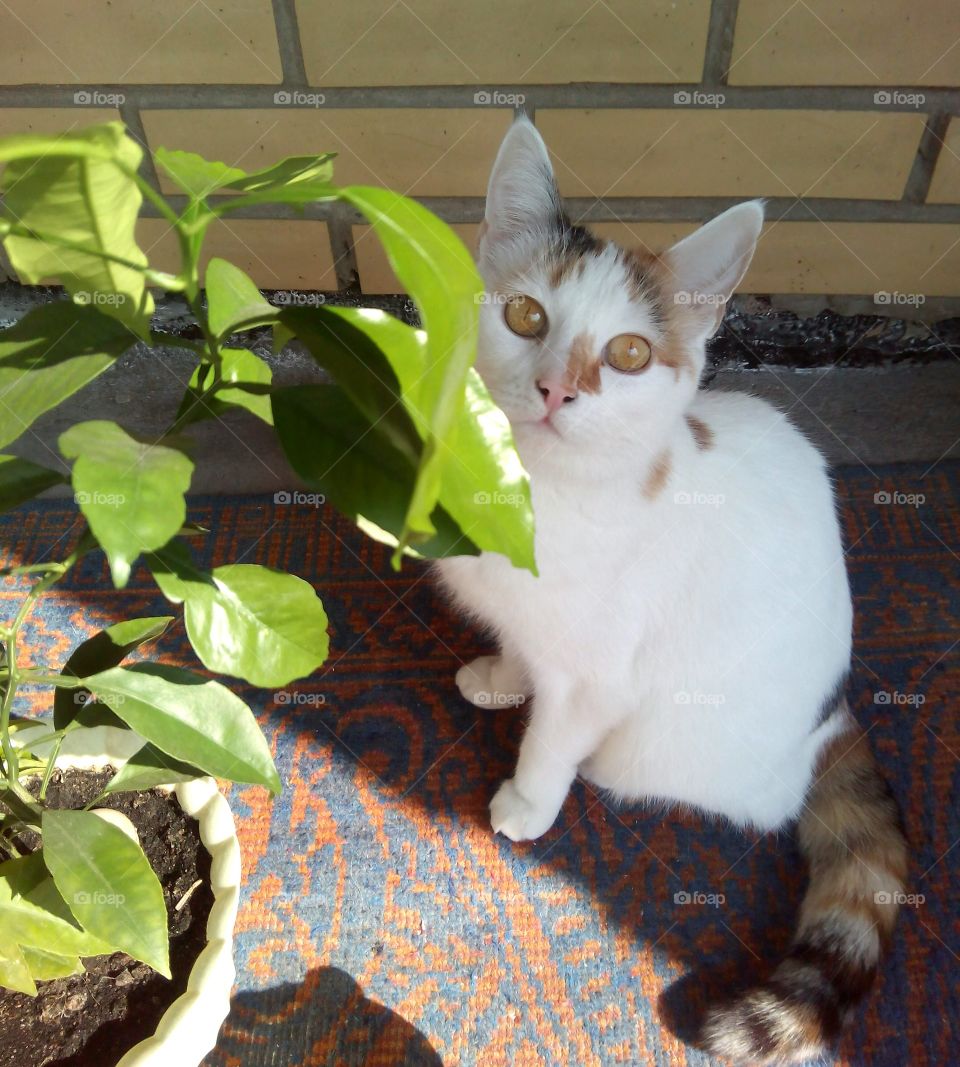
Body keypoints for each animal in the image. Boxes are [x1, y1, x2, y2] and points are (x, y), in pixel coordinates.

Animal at [435, 116, 908, 1058]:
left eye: (629, 354)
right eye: (525, 314)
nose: (556, 388)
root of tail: (829, 720)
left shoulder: (596, 677)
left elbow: (553, 738)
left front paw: (525, 800)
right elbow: (520, 644)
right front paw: (501, 675)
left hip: (658, 748)